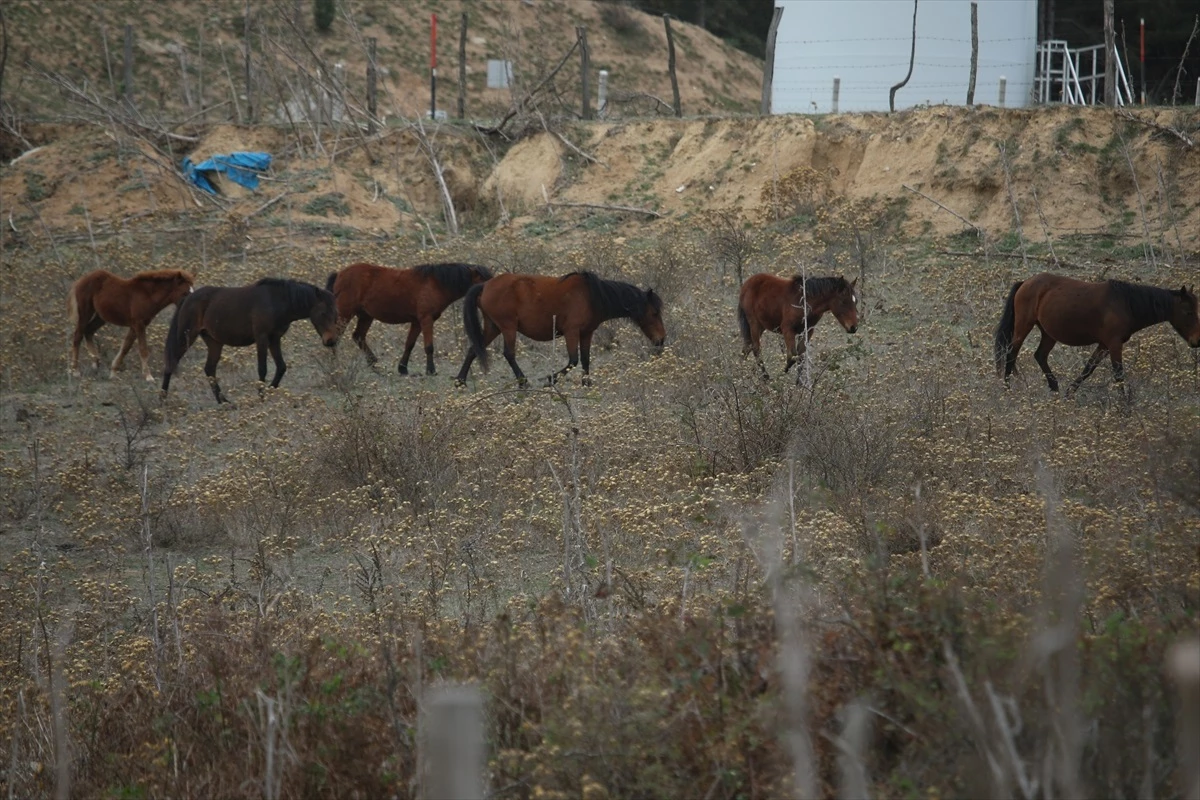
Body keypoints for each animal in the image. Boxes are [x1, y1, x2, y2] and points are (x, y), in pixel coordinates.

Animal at [158, 278, 338, 402]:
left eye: (335, 313)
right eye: (323, 313)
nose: (331, 341)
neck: (277, 301)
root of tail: (187, 298)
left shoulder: (275, 339)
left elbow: (281, 367)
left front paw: (270, 390)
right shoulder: (262, 338)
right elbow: (262, 369)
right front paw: (261, 396)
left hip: (214, 342)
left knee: (209, 369)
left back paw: (224, 402)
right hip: (186, 337)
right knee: (170, 364)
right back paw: (162, 400)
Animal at [324, 261, 492, 376]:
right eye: (483, 280)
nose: (491, 292)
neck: (436, 284)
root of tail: (339, 274)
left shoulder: (416, 322)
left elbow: (409, 344)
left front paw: (402, 368)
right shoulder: (426, 320)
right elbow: (429, 347)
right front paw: (431, 370)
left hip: (366, 316)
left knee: (358, 336)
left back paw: (374, 364)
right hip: (345, 313)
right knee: (335, 337)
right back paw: (335, 366)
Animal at [456, 271, 672, 386]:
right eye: (654, 313)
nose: (661, 339)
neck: (591, 296)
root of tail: (485, 285)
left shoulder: (586, 333)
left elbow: (585, 360)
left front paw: (587, 384)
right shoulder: (572, 332)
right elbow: (573, 361)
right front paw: (549, 379)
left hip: (494, 327)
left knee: (474, 349)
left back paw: (460, 381)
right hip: (508, 327)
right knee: (509, 354)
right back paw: (523, 382)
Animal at [993, 272, 1200, 393]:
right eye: (1189, 312)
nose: (1196, 341)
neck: (1125, 303)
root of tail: (1025, 282)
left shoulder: (1104, 345)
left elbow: (1088, 369)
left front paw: (1070, 393)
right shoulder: (1114, 344)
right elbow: (1118, 375)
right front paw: (1124, 409)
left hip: (1048, 333)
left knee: (1040, 356)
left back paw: (1055, 389)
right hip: (1024, 325)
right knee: (1011, 354)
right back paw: (1007, 389)